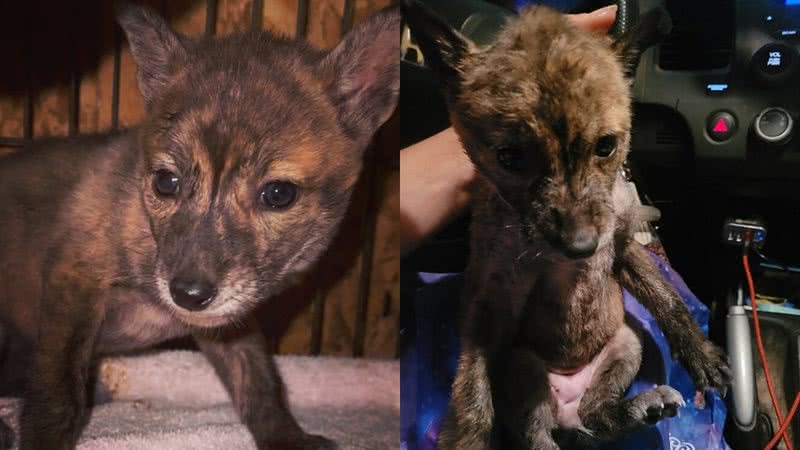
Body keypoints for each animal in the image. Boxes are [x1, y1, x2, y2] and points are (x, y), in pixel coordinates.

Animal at [0, 3, 398, 449]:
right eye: (165, 181)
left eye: (278, 194)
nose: (188, 295)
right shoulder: (73, 275)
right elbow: (58, 393)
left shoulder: (227, 322)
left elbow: (258, 381)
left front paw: (286, 436)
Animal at [403, 2, 730, 449]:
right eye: (508, 157)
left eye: (606, 146)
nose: (581, 247)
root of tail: (566, 403)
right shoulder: (490, 295)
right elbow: (473, 386)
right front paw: (467, 436)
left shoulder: (623, 247)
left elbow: (668, 300)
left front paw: (701, 352)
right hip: (523, 366)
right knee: (536, 433)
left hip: (627, 343)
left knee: (595, 415)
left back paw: (638, 408)